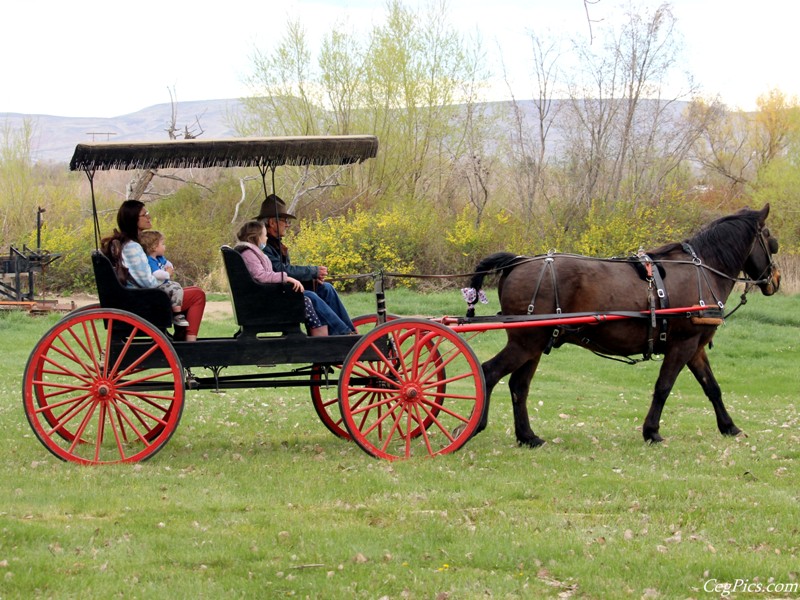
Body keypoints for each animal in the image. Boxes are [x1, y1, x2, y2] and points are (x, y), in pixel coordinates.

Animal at [468, 206, 780, 446]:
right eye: (770, 240)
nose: (775, 280)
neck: (701, 271)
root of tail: (517, 262)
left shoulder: (695, 347)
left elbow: (712, 387)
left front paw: (729, 426)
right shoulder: (683, 344)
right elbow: (664, 386)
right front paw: (652, 431)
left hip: (535, 344)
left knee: (518, 385)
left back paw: (528, 436)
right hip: (526, 341)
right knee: (489, 372)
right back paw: (474, 426)